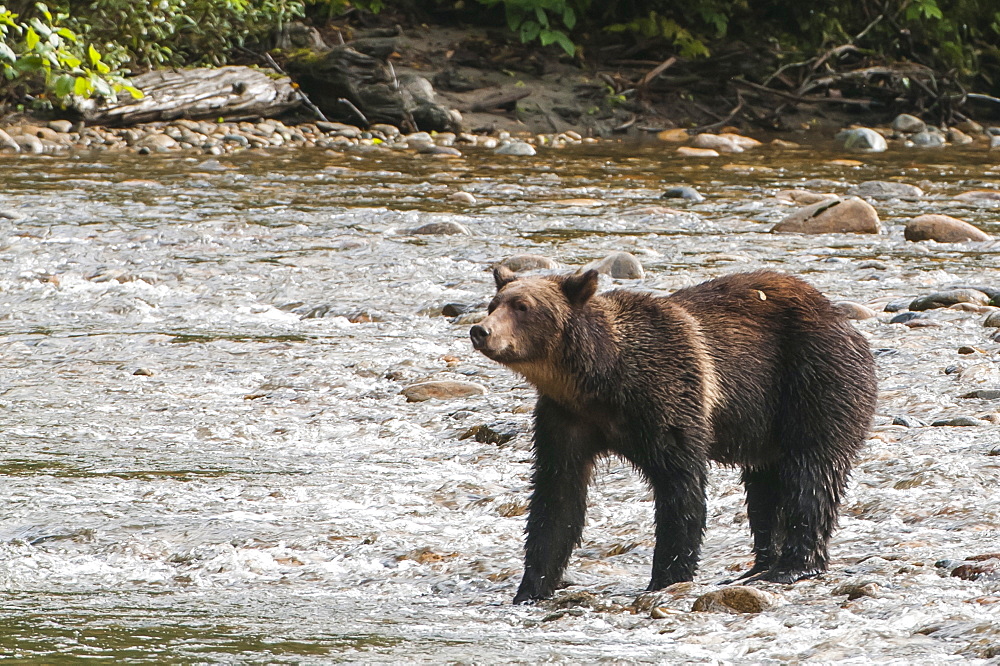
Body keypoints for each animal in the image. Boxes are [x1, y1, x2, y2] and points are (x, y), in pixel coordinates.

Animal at [468, 264, 876, 600]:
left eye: (522, 306)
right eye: (494, 303)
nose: (480, 330)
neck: (599, 379)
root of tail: (840, 317)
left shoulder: (666, 396)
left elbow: (681, 487)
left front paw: (666, 576)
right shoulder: (564, 419)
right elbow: (557, 498)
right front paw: (531, 587)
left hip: (813, 380)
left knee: (811, 474)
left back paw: (792, 566)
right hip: (767, 426)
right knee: (764, 488)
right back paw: (760, 565)